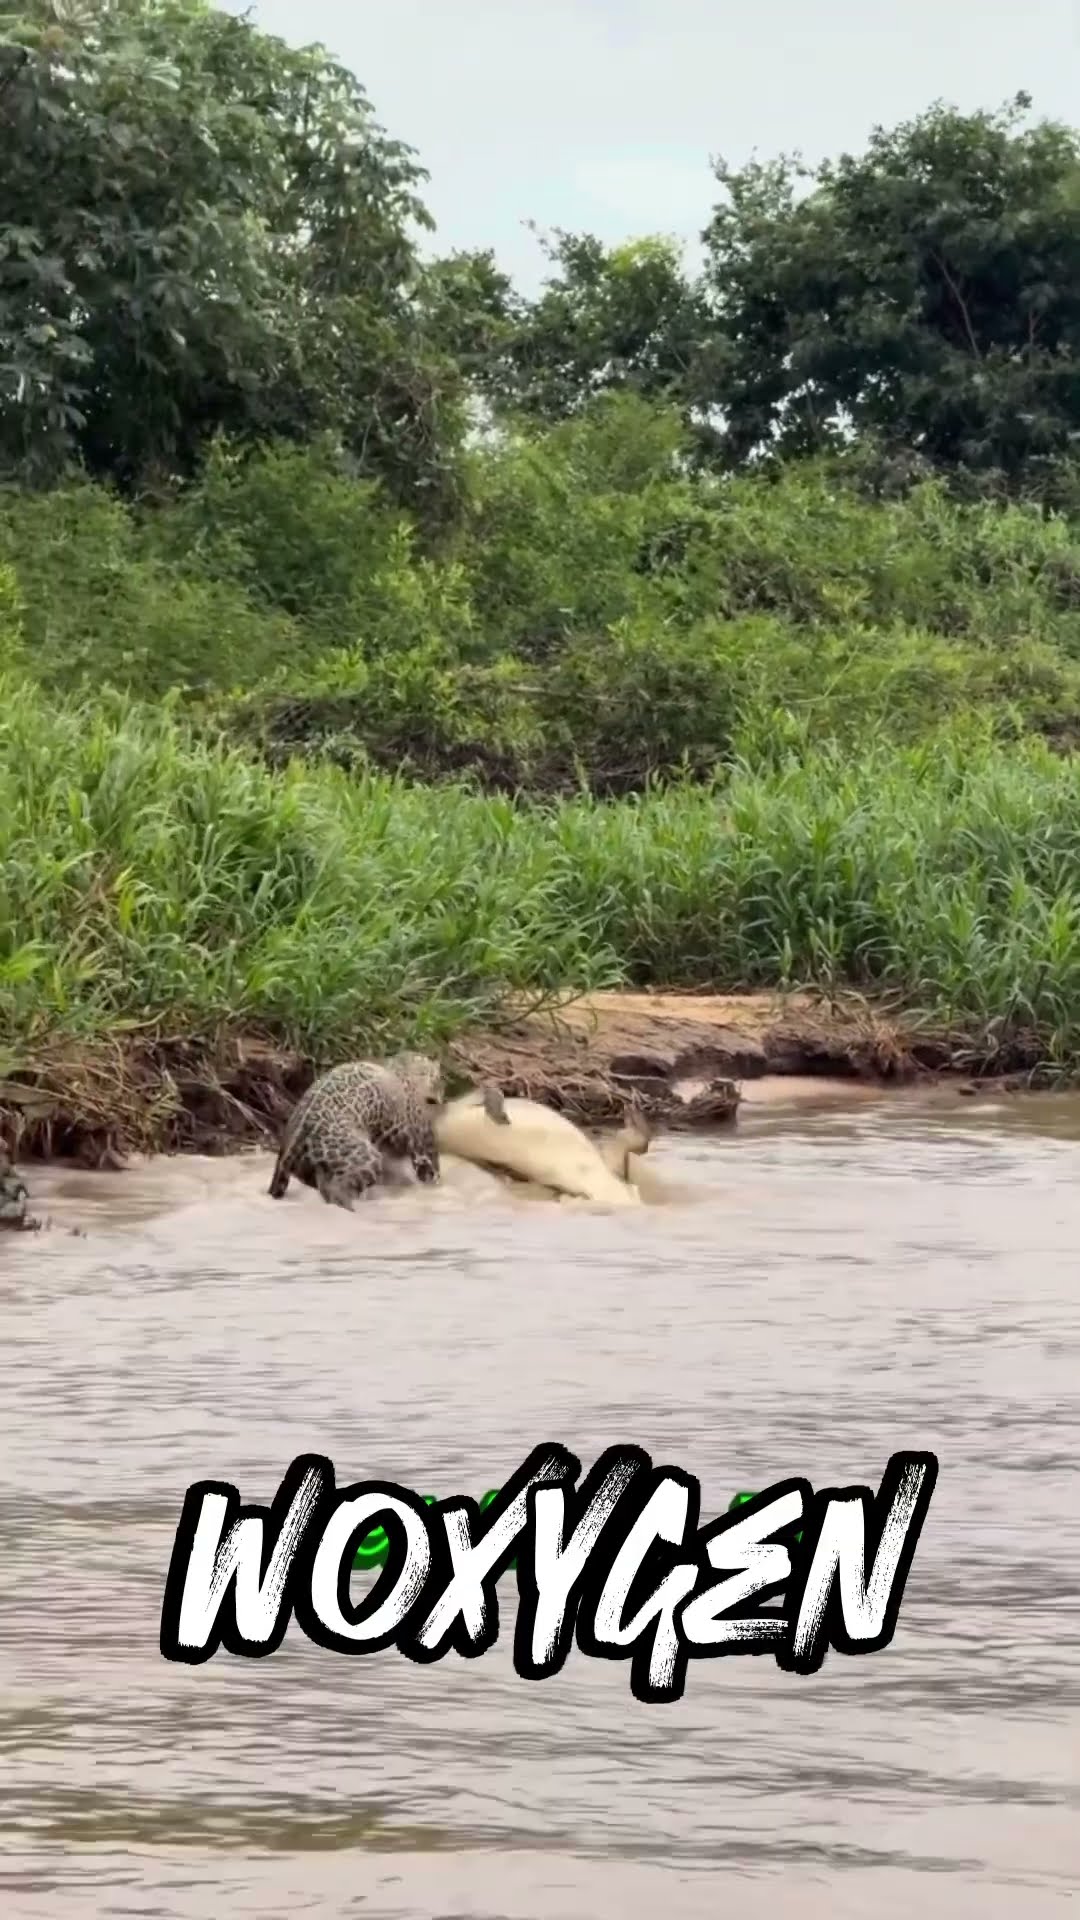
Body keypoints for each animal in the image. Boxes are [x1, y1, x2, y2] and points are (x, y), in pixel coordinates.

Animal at [268, 1050, 509, 1211]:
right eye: (439, 1081)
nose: (438, 1097)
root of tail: (294, 1140)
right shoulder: (420, 1137)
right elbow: (430, 1167)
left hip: (305, 1169)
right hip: (364, 1157)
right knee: (337, 1189)